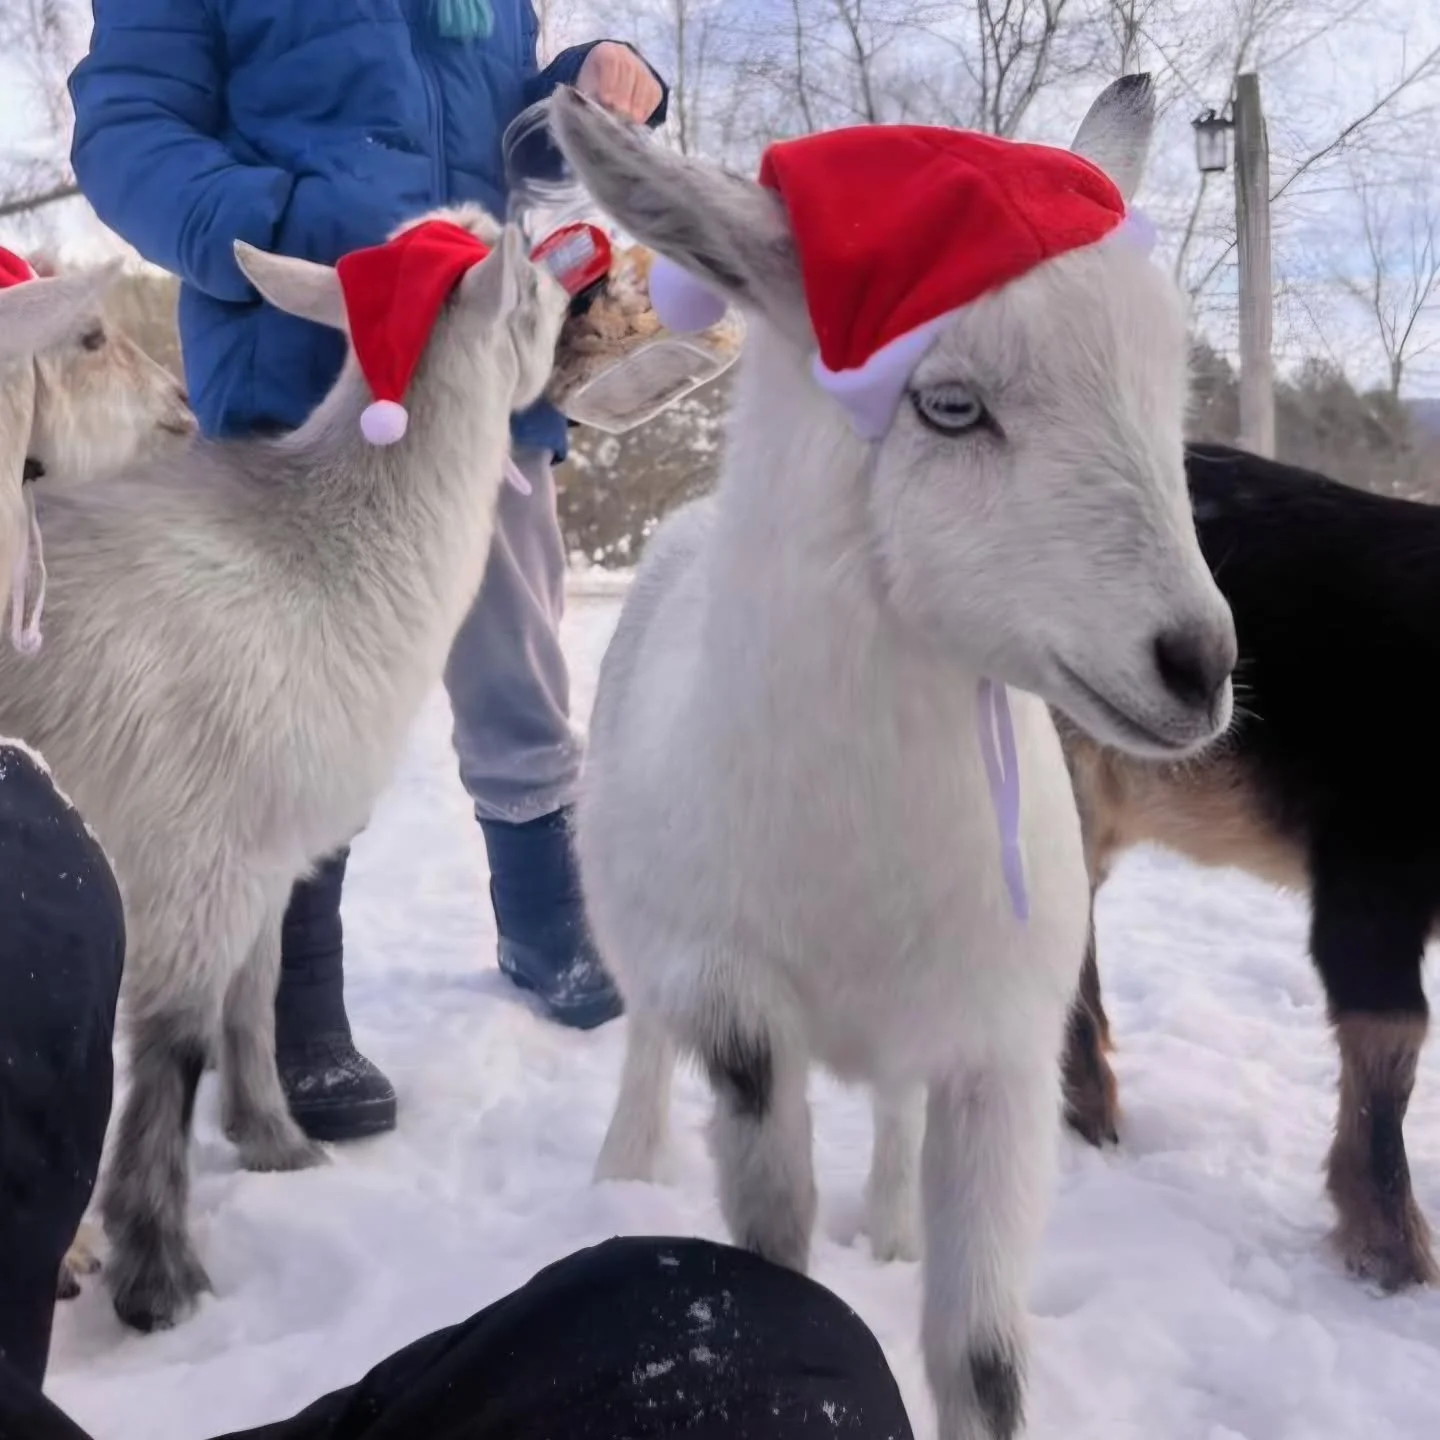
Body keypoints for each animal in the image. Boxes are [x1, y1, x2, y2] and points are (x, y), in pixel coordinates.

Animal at [549, 79, 1236, 1440]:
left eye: (1166, 382)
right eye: (949, 404)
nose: (1200, 664)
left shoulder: (1006, 1045)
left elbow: (983, 1355)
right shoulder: (738, 1011)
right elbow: (772, 1246)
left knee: (898, 1110)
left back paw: (898, 1223)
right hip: (637, 918)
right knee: (644, 1037)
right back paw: (621, 1166)